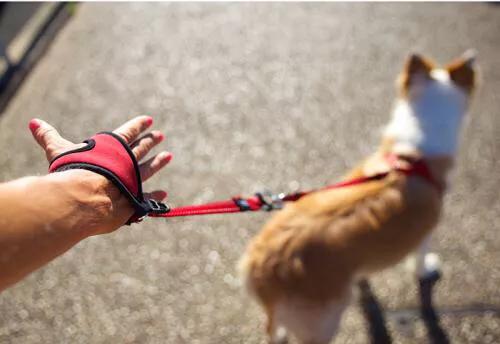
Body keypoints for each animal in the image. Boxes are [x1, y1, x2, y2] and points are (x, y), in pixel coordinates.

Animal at [238, 51, 476, 344]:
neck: (411, 156)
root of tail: (259, 267)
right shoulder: (425, 232)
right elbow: (420, 259)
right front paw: (427, 270)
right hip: (323, 321)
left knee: (275, 331)